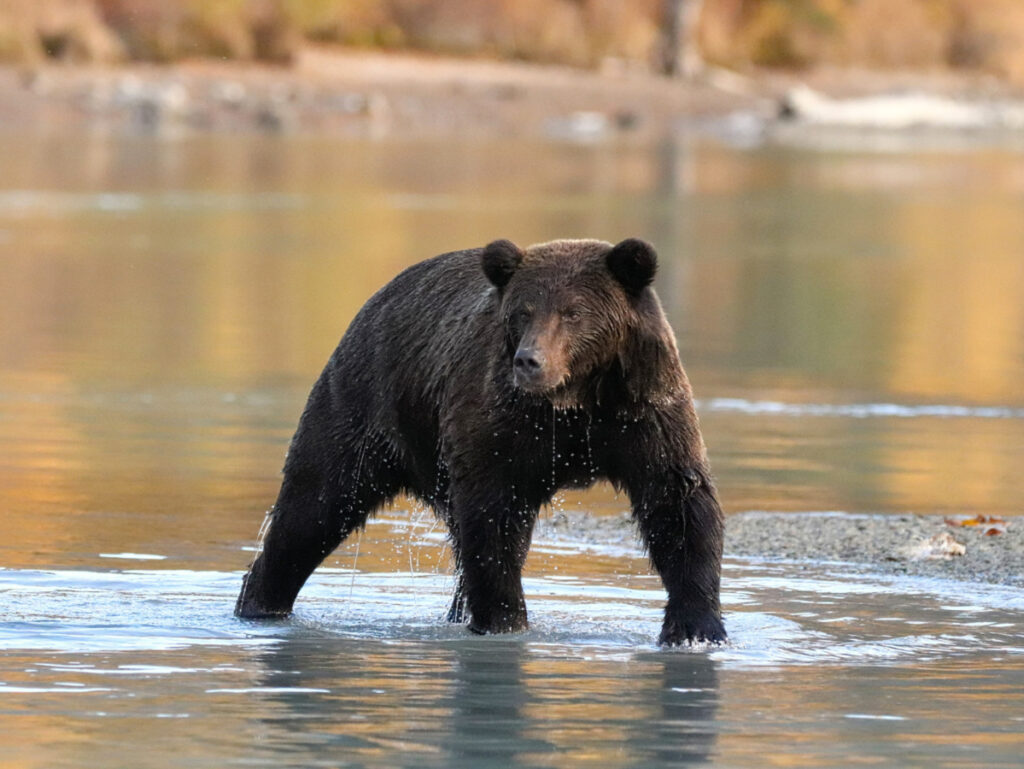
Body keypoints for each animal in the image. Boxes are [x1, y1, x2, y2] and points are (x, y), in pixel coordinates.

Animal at [234, 238, 727, 645]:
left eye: (573, 312)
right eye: (524, 311)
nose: (529, 360)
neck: (575, 401)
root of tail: (377, 300)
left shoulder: (642, 413)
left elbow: (678, 504)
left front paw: (697, 627)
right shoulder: (502, 424)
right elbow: (493, 521)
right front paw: (505, 620)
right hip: (363, 405)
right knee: (314, 506)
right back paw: (260, 603)